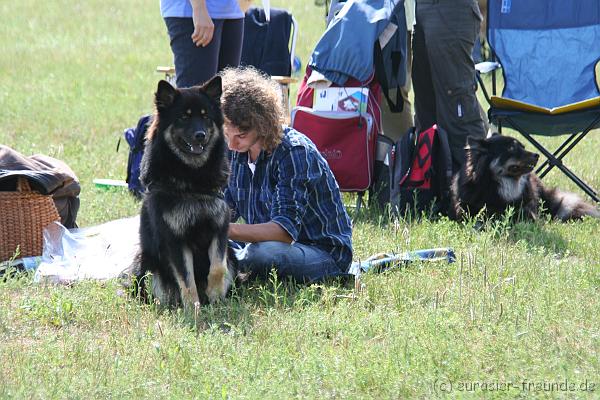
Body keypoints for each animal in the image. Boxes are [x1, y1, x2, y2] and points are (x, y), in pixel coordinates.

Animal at [134, 77, 237, 310]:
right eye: (184, 117)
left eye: (205, 116)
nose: (201, 136)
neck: (192, 179)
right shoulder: (175, 238)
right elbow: (186, 279)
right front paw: (193, 309)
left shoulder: (219, 226)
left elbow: (218, 267)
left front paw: (214, 295)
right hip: (145, 261)